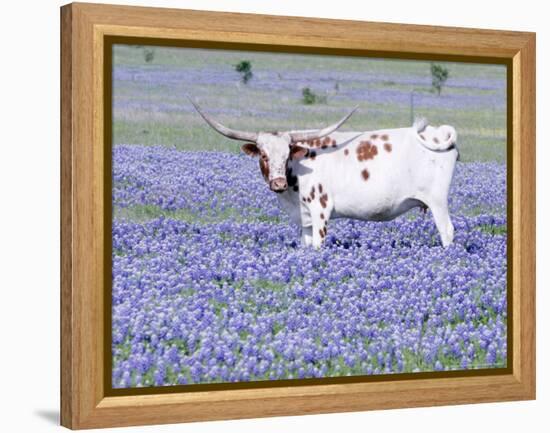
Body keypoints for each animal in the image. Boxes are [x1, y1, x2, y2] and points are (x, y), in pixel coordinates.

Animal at [192, 98, 460, 246]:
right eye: (264, 156)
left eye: (287, 154)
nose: (278, 183)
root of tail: (437, 132)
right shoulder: (305, 219)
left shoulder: (320, 211)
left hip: (437, 201)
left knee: (447, 231)